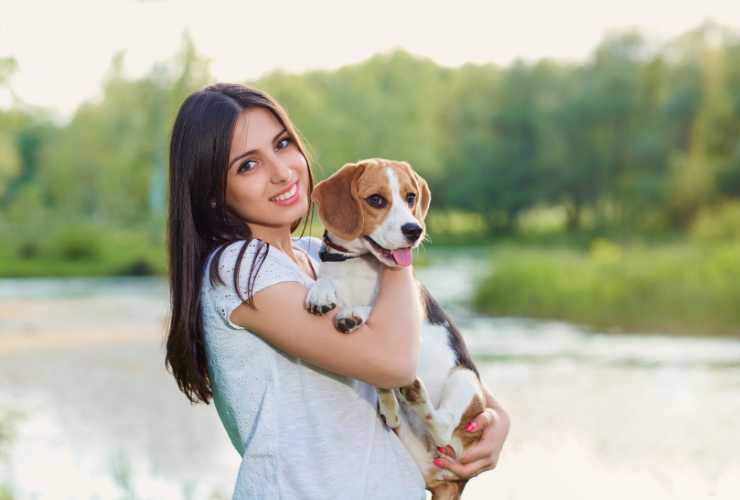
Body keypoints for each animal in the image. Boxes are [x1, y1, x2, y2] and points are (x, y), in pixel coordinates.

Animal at [304, 157, 486, 500]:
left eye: (411, 197)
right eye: (376, 200)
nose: (414, 230)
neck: (358, 262)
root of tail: (451, 479)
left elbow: (370, 309)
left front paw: (353, 314)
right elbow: (326, 281)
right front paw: (321, 292)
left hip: (465, 382)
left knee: (443, 426)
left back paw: (414, 393)